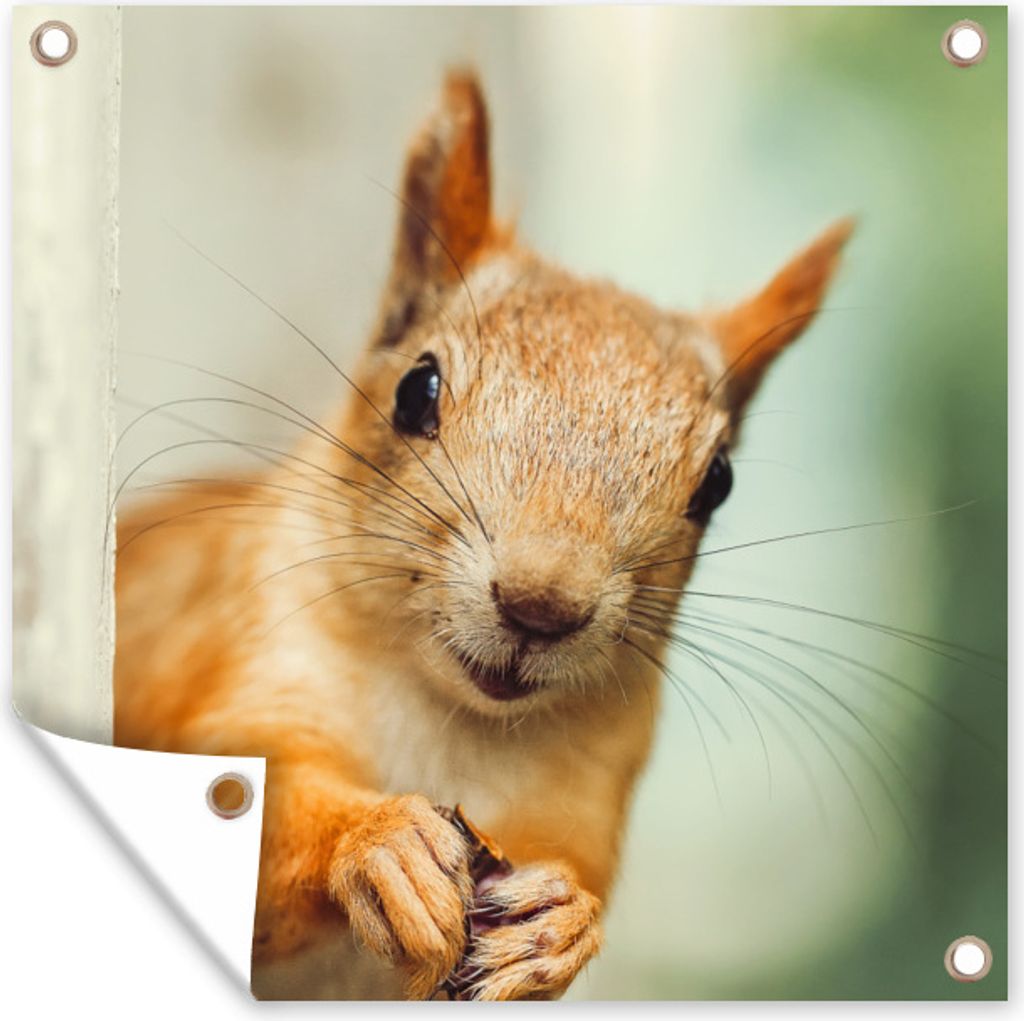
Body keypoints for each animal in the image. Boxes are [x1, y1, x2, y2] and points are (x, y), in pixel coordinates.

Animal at [114, 71, 852, 1000]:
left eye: (717, 482)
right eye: (415, 390)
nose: (542, 606)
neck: (450, 722)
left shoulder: (583, 794)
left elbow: (576, 881)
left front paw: (562, 926)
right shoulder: (231, 652)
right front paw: (379, 844)